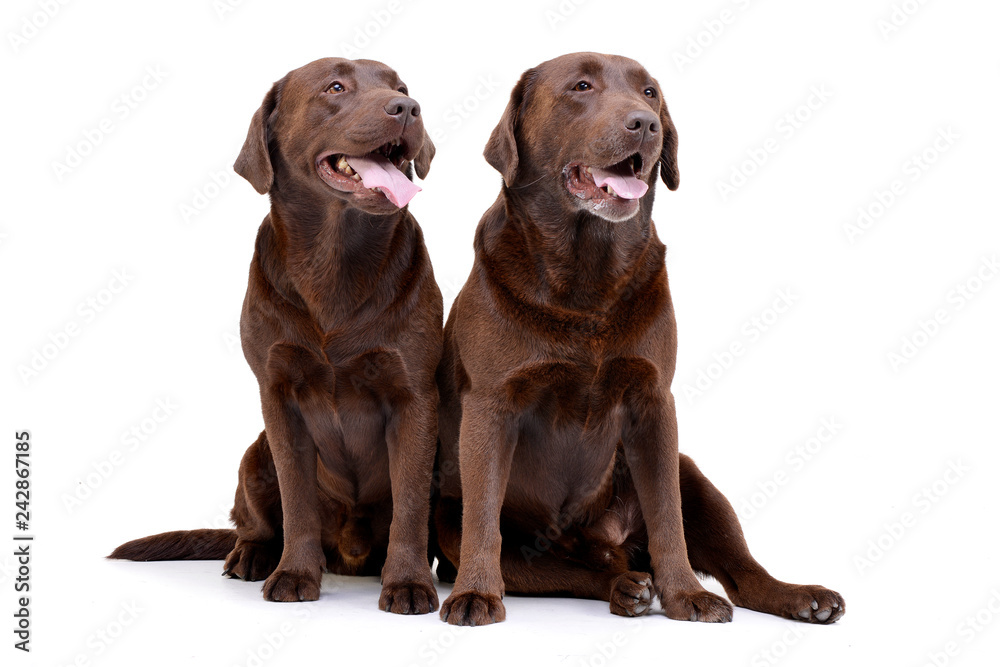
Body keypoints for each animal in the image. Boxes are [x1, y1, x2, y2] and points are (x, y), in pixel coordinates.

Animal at [110, 58, 442, 616]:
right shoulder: (279, 395)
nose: (408, 108)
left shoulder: (413, 394)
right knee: (255, 523)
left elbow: (412, 504)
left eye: (401, 87)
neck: (335, 257)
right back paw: (252, 556)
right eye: (335, 87)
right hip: (253, 454)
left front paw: (410, 583)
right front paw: (294, 574)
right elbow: (296, 500)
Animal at [434, 51, 848, 628]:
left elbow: (667, 517)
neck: (586, 279)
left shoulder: (655, 403)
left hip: (692, 474)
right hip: (456, 521)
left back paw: (799, 595)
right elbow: (484, 520)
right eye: (581, 86)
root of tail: (605, 543)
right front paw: (474, 593)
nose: (646, 124)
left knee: (742, 573)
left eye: (650, 93)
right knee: (573, 572)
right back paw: (626, 587)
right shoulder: (491, 406)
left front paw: (686, 595)